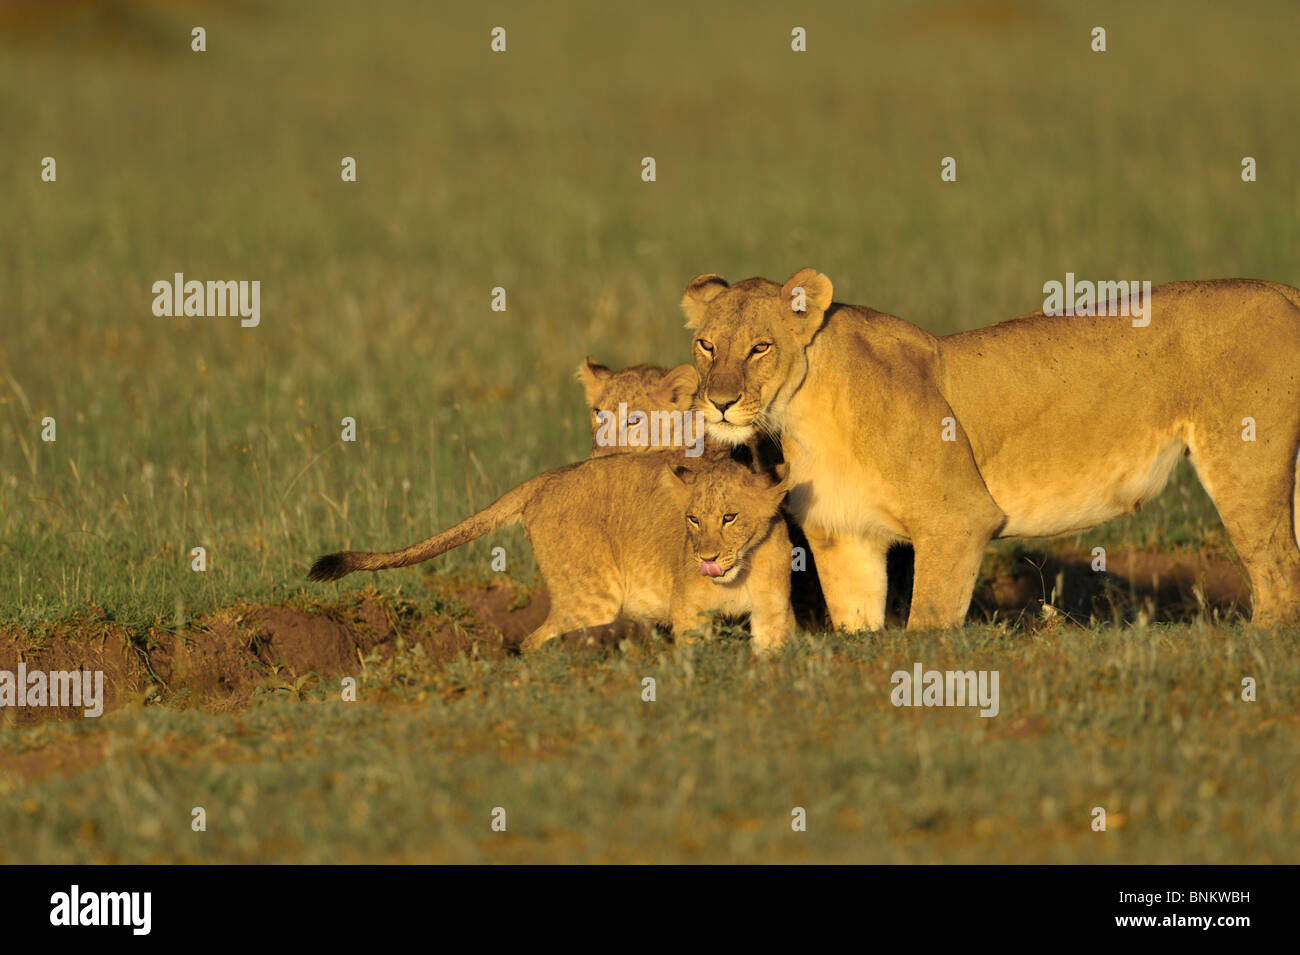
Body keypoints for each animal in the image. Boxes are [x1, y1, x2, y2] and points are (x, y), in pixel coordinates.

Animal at [308, 453, 793, 652]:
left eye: (730, 517)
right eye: (692, 519)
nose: (706, 558)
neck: (738, 572)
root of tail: (547, 479)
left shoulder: (772, 614)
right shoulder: (689, 615)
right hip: (592, 597)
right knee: (533, 640)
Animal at [681, 268, 1300, 630]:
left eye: (760, 347)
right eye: (706, 345)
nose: (719, 403)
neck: (804, 412)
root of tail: (1281, 289)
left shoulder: (958, 519)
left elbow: (928, 622)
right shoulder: (844, 535)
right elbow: (857, 620)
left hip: (1245, 467)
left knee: (1279, 573)